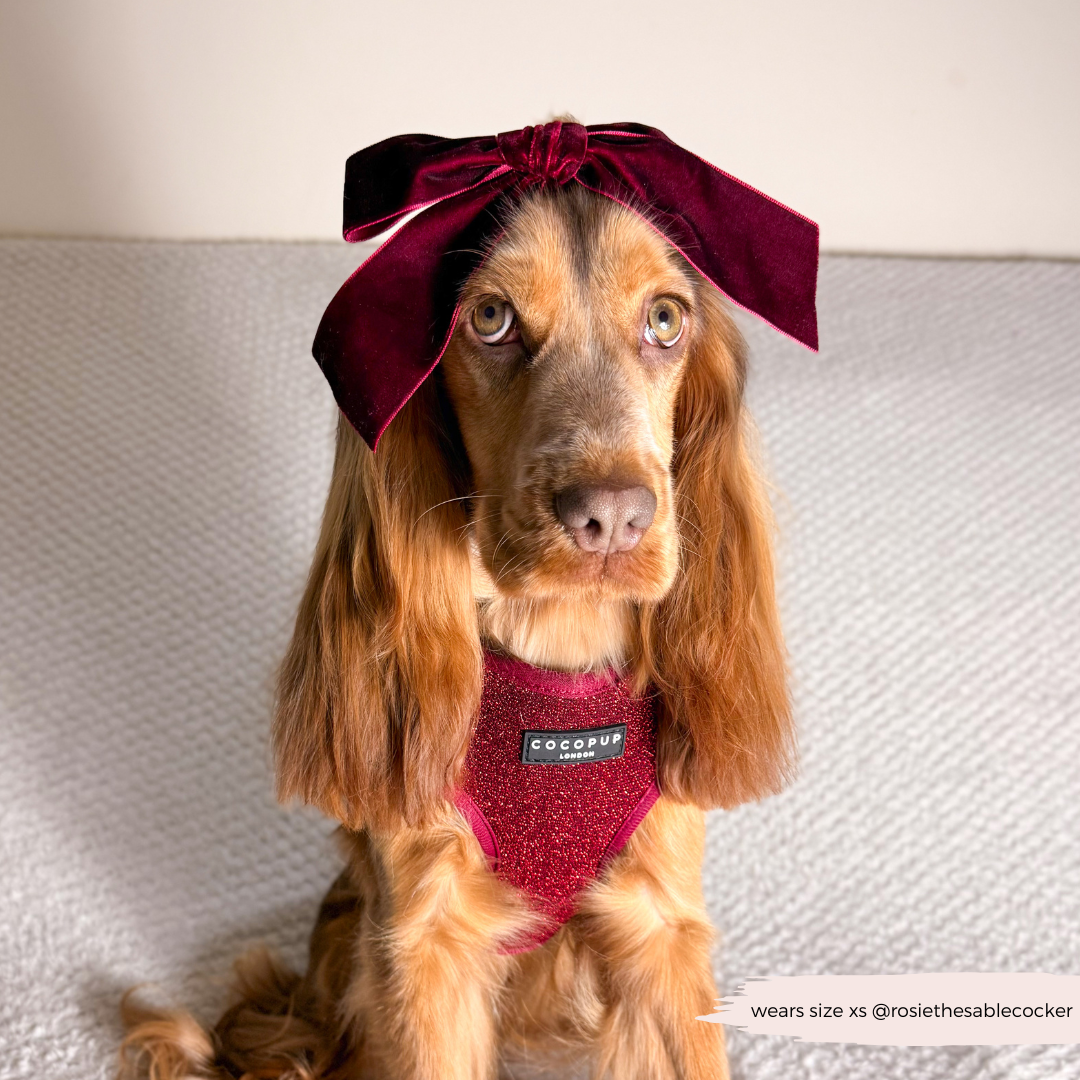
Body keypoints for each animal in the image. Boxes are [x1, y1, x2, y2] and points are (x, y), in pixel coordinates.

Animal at [122, 172, 799, 1075]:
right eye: (490, 318)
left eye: (665, 319)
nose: (612, 519)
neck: (557, 655)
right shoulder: (427, 938)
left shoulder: (658, 924)